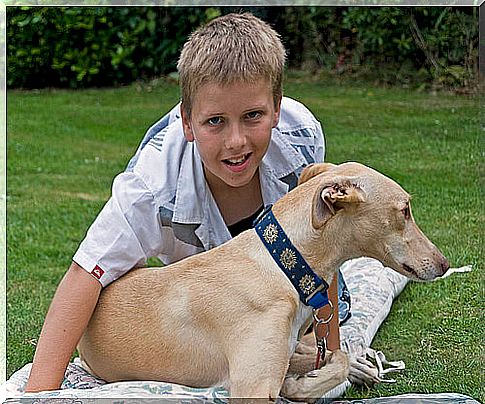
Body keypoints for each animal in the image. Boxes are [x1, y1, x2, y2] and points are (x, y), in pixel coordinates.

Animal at [77, 163, 448, 402]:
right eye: (404, 210)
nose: (444, 264)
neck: (281, 266)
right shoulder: (252, 387)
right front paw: (299, 387)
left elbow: (336, 357)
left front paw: (313, 379)